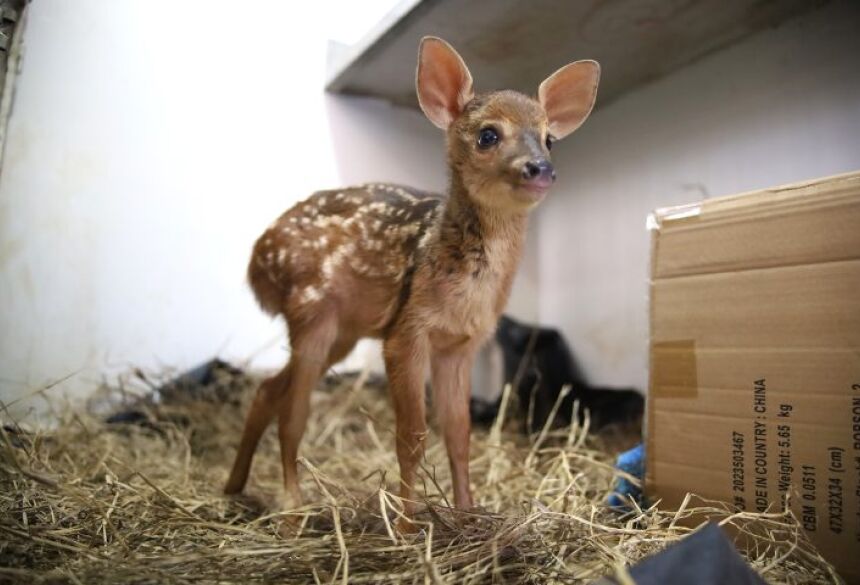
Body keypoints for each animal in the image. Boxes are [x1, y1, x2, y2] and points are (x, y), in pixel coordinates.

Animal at [222, 36, 596, 528]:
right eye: (488, 135)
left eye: (550, 139)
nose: (540, 168)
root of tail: (256, 262)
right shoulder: (406, 332)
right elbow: (412, 435)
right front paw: (406, 525)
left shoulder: (460, 344)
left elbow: (459, 433)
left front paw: (467, 514)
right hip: (311, 310)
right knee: (294, 413)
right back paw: (291, 508)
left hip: (342, 331)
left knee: (268, 389)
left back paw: (234, 487)